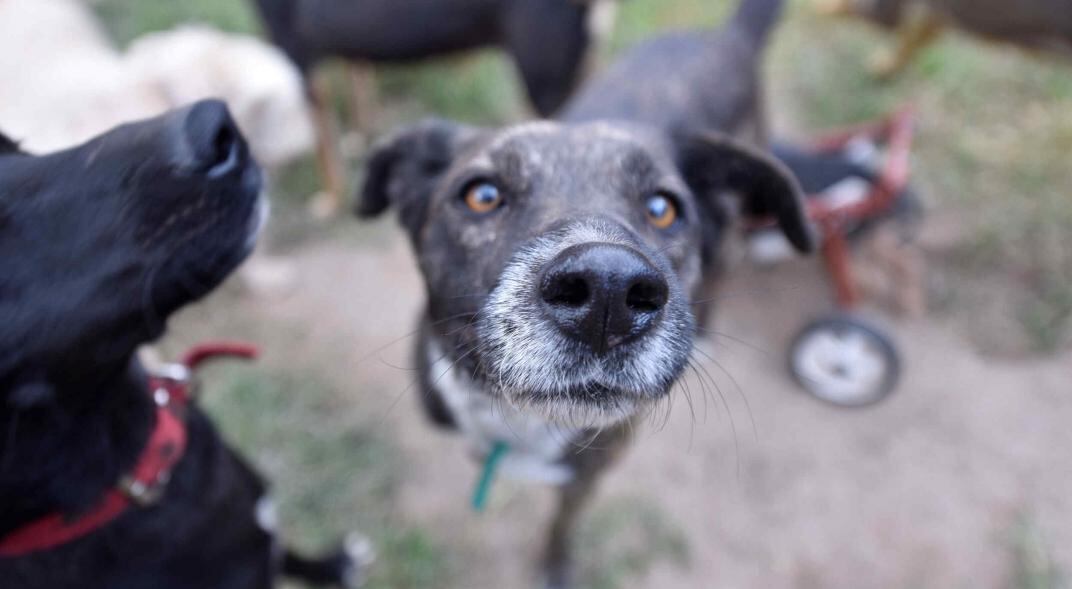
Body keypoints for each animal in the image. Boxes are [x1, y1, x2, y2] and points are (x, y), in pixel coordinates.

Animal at [252, 0, 621, 211]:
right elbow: (359, 86)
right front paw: (359, 136)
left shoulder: (296, 51)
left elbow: (322, 141)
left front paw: (331, 198)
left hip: (543, 79)